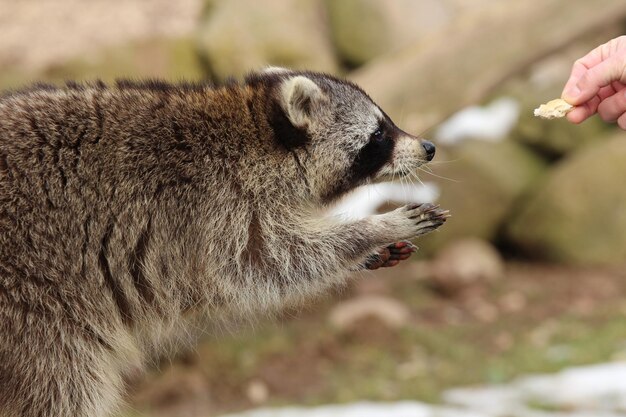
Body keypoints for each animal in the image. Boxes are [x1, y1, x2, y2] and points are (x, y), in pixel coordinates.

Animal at [1, 69, 448, 416]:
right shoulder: (213, 209)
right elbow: (269, 262)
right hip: (32, 312)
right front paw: (374, 229)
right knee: (61, 387)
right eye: (378, 135)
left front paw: (370, 250)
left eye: (385, 124)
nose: (428, 148)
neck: (258, 133)